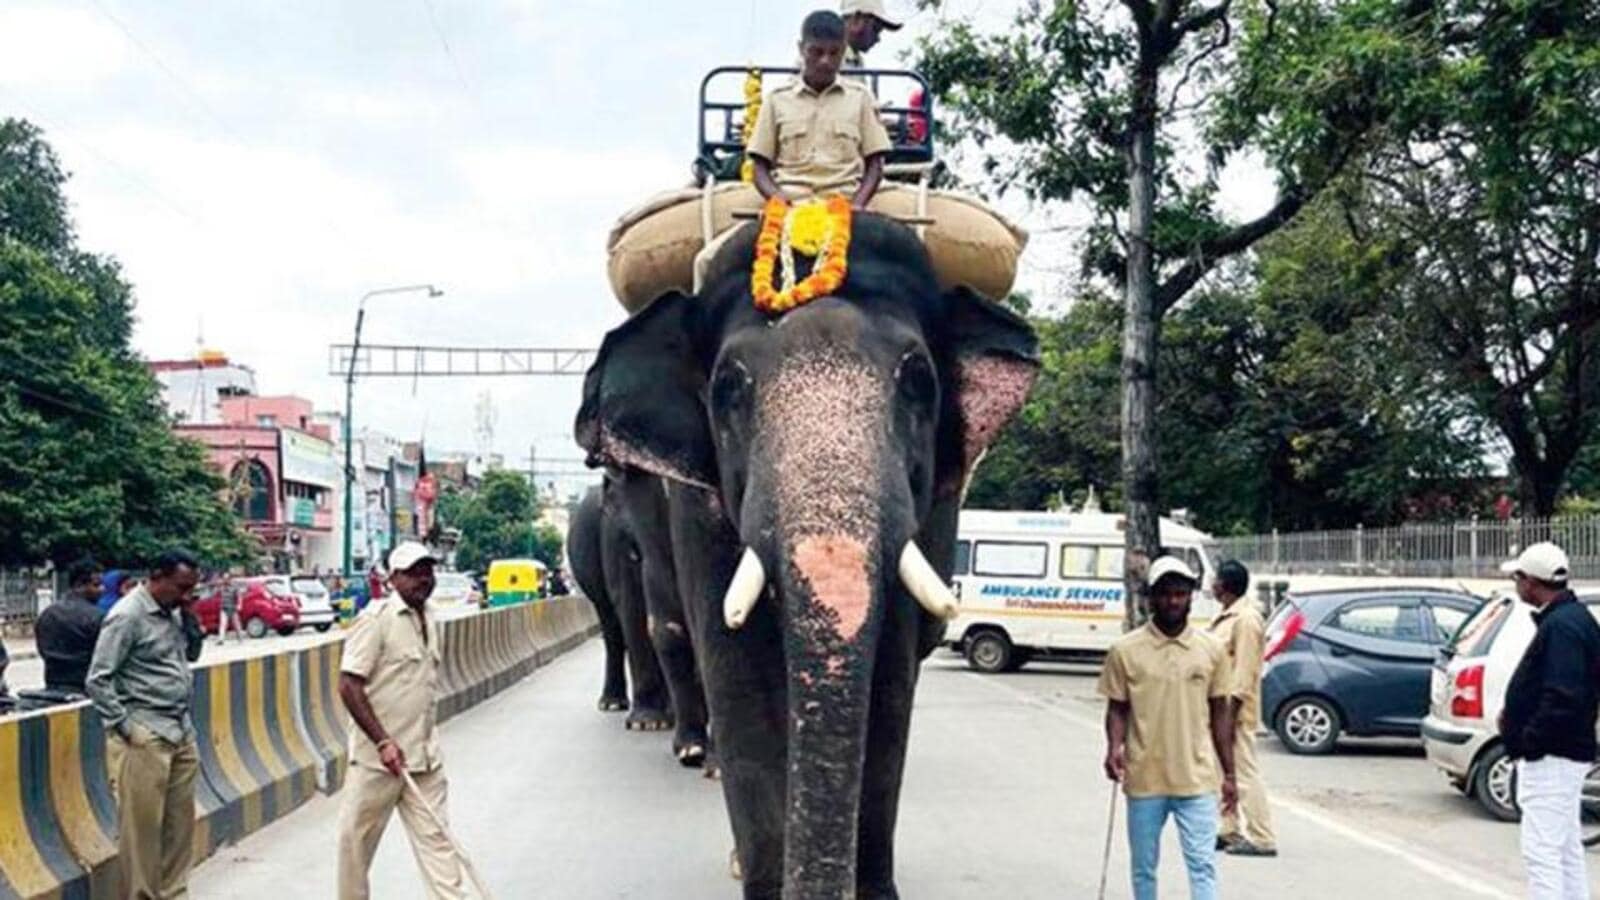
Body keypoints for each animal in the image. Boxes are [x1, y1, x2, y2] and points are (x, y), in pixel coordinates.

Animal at [582, 212, 1043, 890]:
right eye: (728, 388)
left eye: (919, 380)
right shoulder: (697, 504)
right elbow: (736, 665)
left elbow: (890, 677)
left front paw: (873, 889)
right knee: (661, 625)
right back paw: (677, 741)